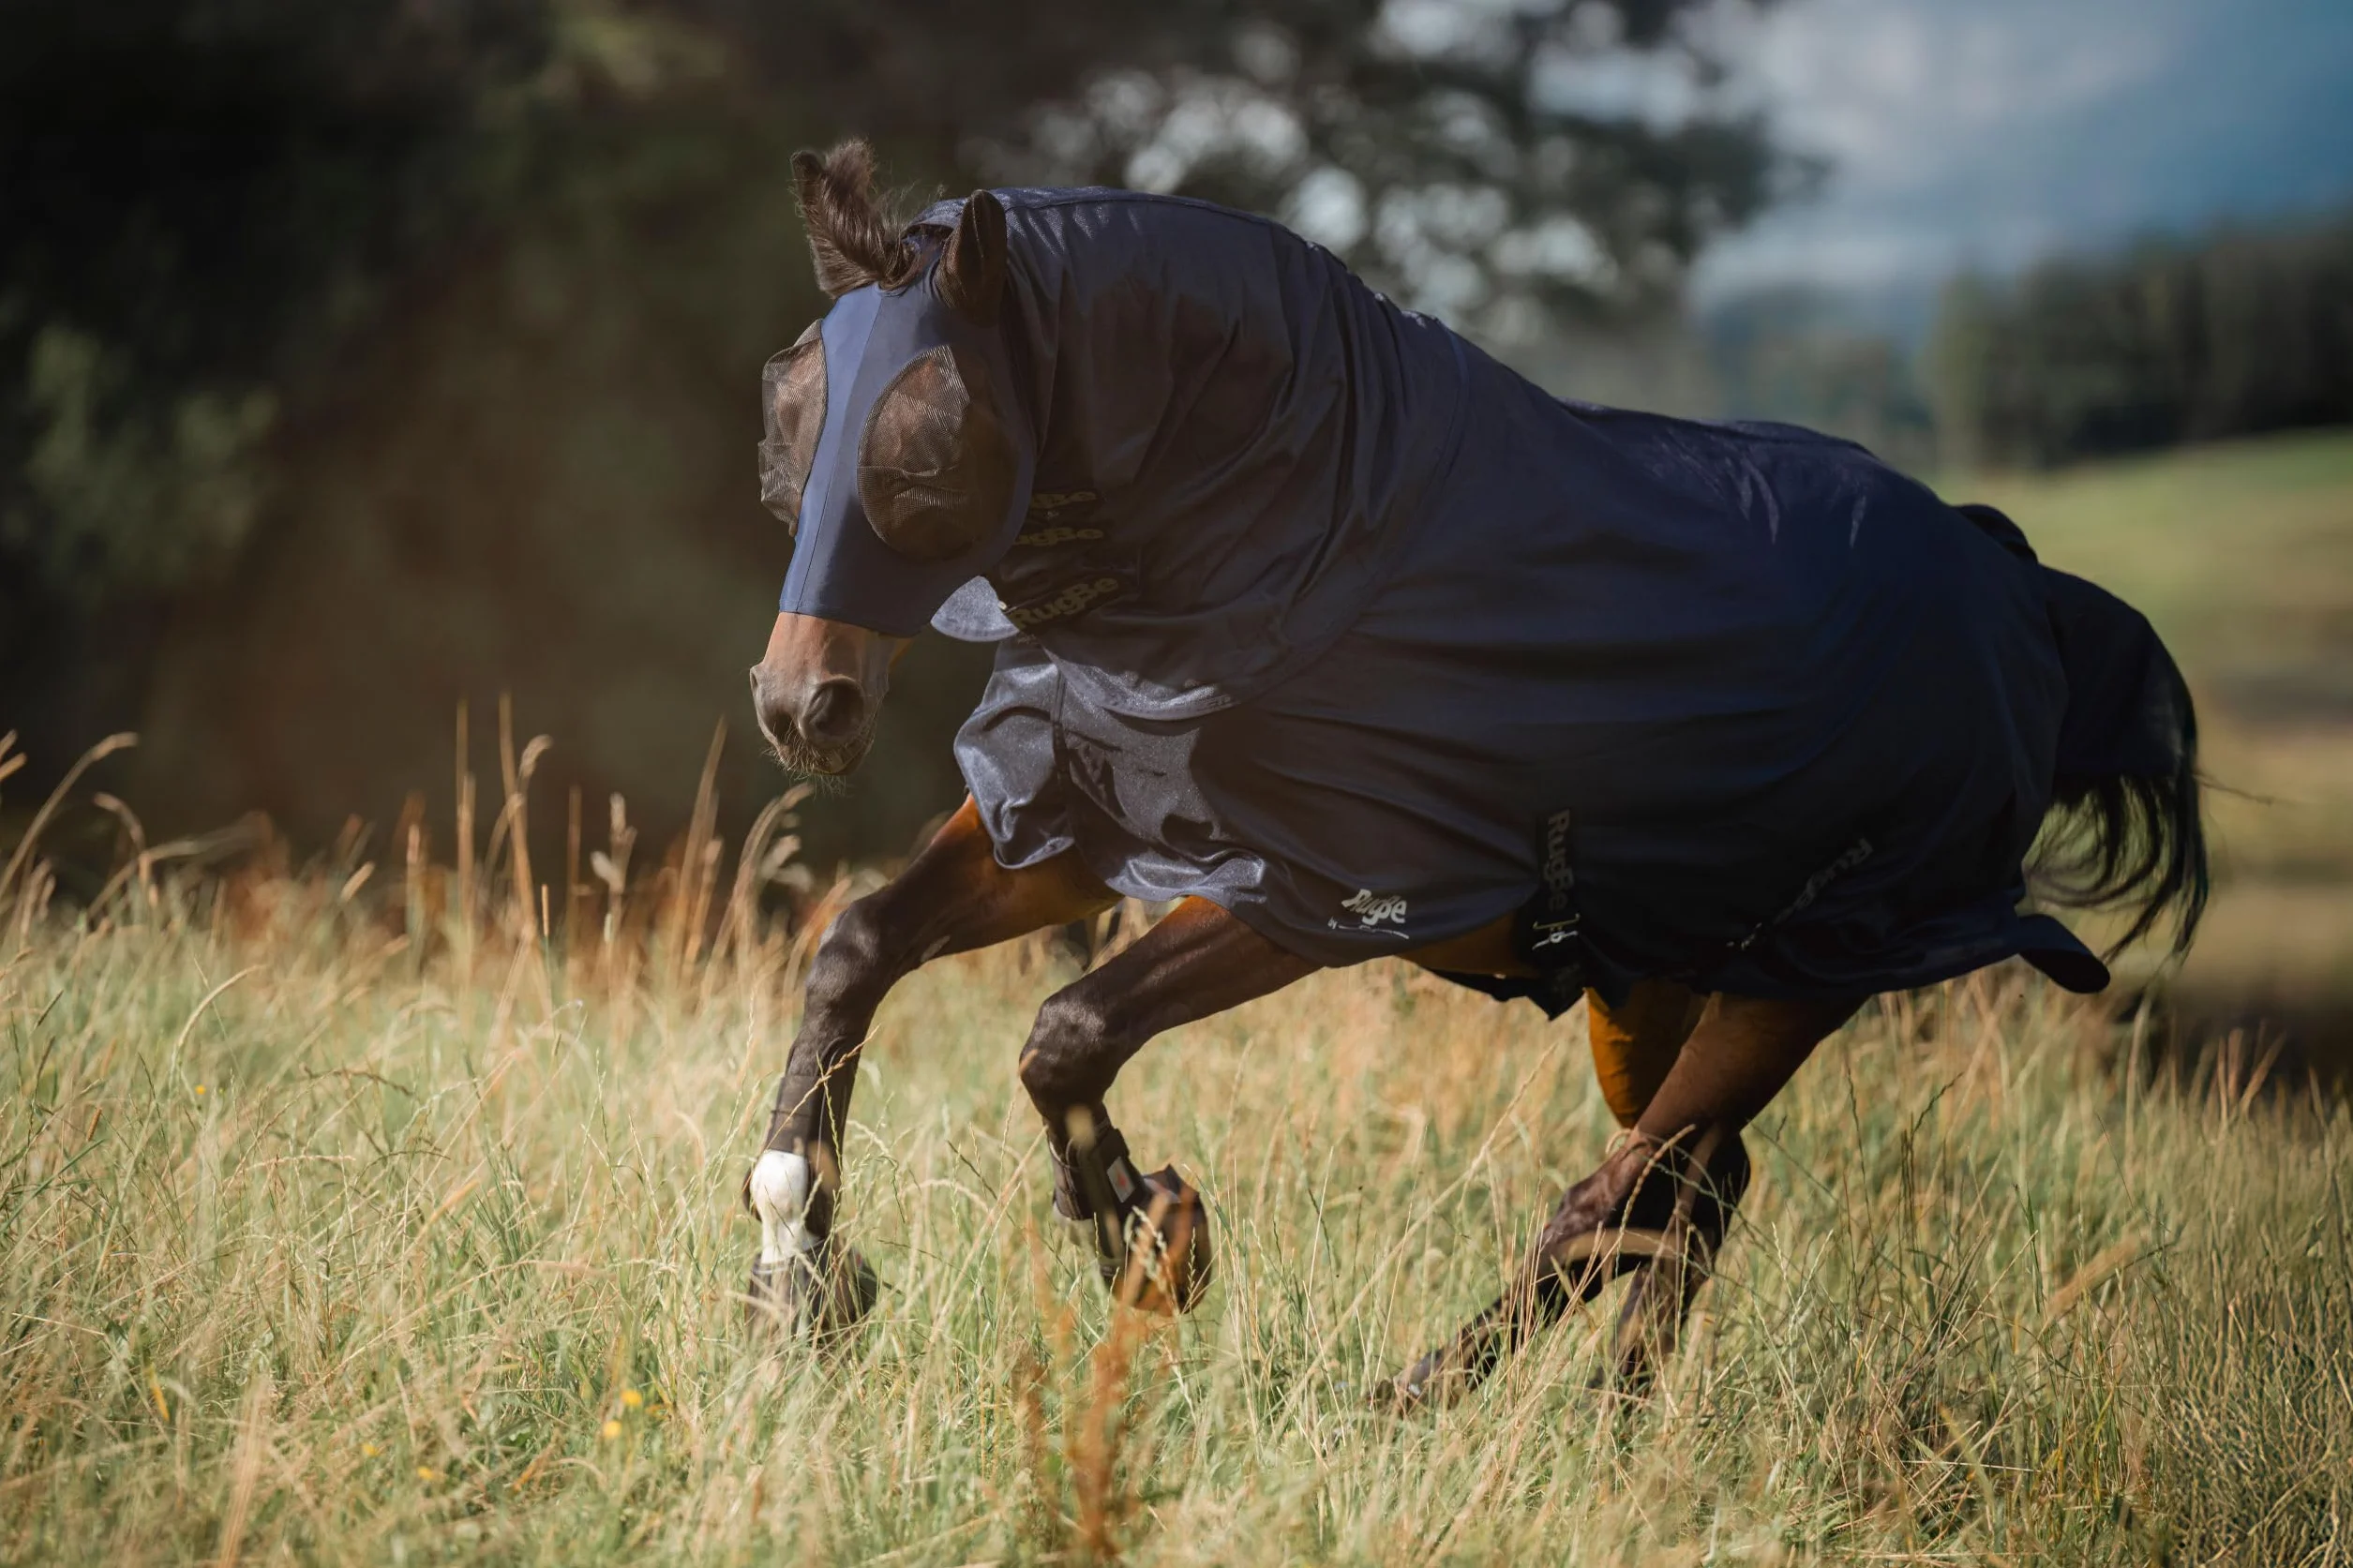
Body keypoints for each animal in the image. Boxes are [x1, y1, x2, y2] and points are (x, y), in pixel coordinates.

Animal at [736, 140, 2208, 1408]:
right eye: (788, 424)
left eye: (928, 451)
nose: (802, 705)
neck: (1303, 534)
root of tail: (2017, 594)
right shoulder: (1081, 814)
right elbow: (856, 948)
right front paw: (798, 1274)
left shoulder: (1314, 897)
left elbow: (1067, 1031)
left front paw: (1151, 1238)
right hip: (1666, 981)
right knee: (1694, 1189)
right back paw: (1616, 1429)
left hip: (1806, 974)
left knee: (1611, 1202)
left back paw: (1410, 1403)